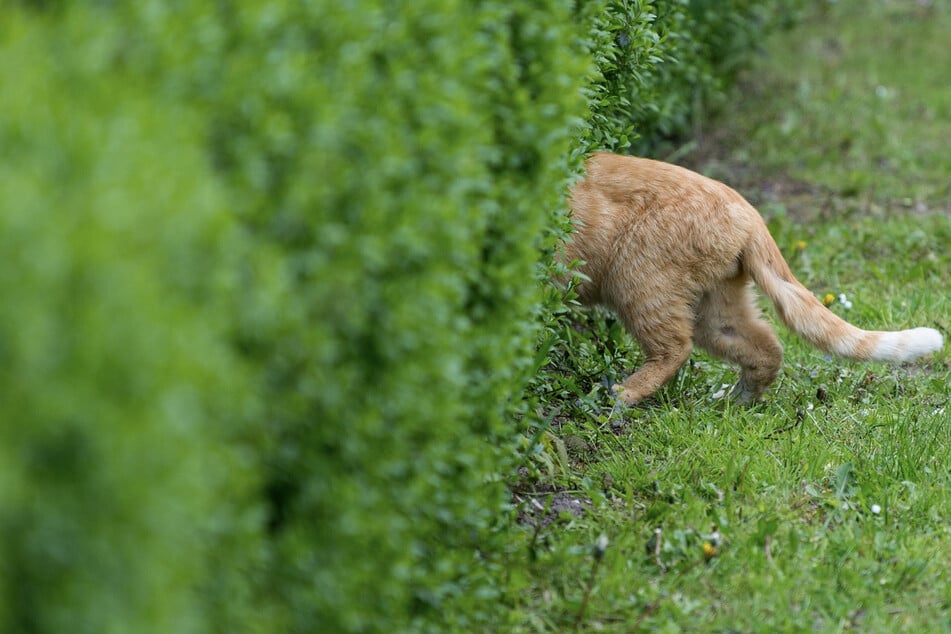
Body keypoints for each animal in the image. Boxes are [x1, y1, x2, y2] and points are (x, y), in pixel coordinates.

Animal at [564, 151, 944, 402]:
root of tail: (747, 209)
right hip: (711, 308)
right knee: (766, 346)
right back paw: (738, 401)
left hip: (637, 282)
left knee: (675, 348)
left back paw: (623, 394)